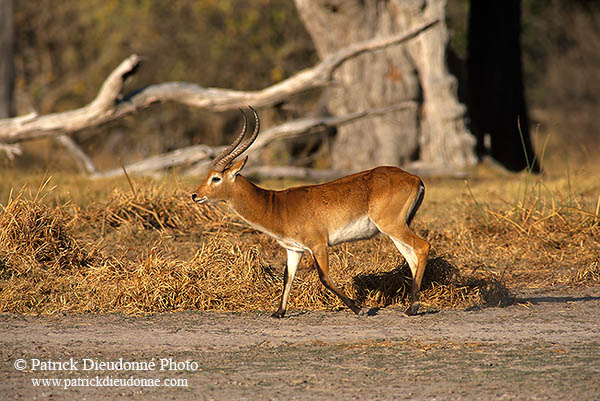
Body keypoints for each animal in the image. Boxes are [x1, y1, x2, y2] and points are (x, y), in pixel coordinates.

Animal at [193, 107, 432, 318]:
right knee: (412, 259)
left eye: (216, 178)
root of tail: (415, 178)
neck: (277, 206)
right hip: (394, 230)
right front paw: (279, 313)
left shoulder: (318, 244)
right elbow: (287, 277)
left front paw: (359, 309)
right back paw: (411, 306)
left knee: (423, 247)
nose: (195, 195)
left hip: (393, 226)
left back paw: (412, 309)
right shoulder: (294, 250)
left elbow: (324, 277)